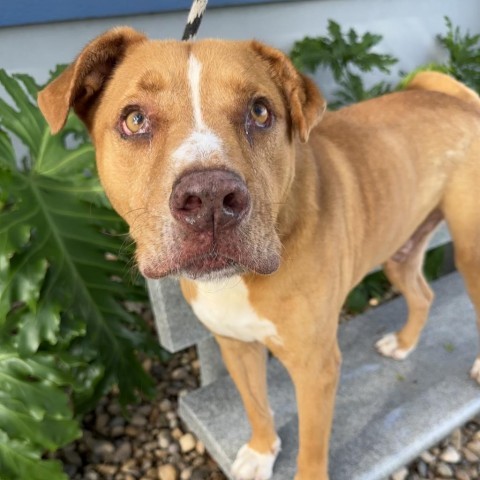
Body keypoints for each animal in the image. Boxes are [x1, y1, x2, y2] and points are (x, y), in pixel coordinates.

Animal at [38, 29, 480, 480]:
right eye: (134, 119)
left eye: (260, 111)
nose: (210, 197)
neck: (239, 280)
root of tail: (459, 100)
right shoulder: (236, 345)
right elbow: (256, 406)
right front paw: (262, 451)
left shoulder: (316, 367)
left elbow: (312, 446)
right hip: (400, 247)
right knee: (423, 294)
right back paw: (404, 344)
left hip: (471, 253)